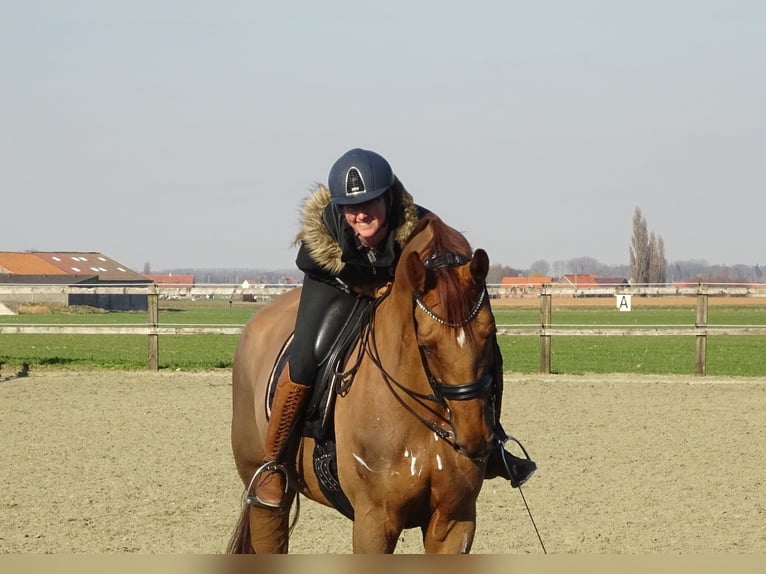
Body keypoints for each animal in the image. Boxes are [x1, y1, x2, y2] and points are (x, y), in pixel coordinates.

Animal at [225, 214, 500, 556]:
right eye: (427, 344)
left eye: (490, 333)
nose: (475, 438)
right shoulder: (375, 521)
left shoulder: (455, 521)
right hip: (265, 497)